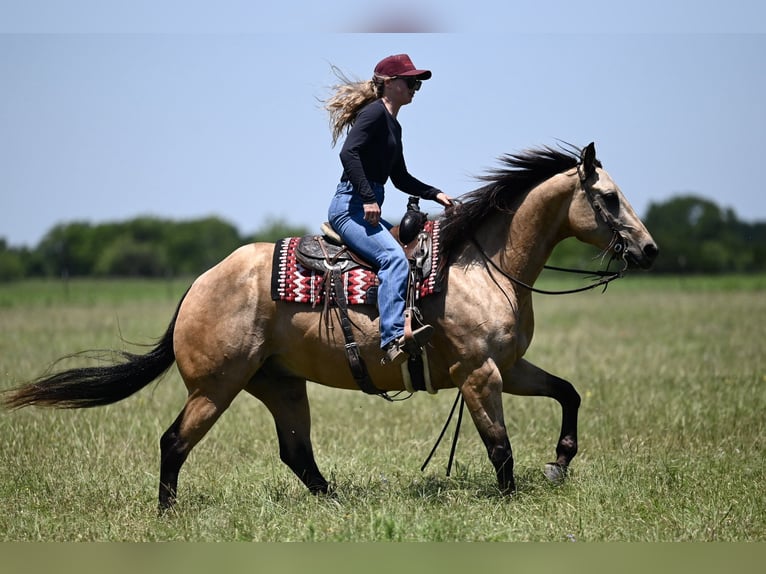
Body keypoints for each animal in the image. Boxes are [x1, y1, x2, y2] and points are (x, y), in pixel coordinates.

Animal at [2, 142, 658, 510]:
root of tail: (199, 284)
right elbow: (499, 445)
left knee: (296, 452)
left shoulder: (512, 367)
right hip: (215, 387)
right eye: (606, 197)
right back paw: (167, 514)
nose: (649, 250)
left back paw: (336, 504)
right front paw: (515, 499)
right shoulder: (480, 373)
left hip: (280, 384)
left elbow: (568, 393)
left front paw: (560, 461)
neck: (481, 267)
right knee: (174, 442)